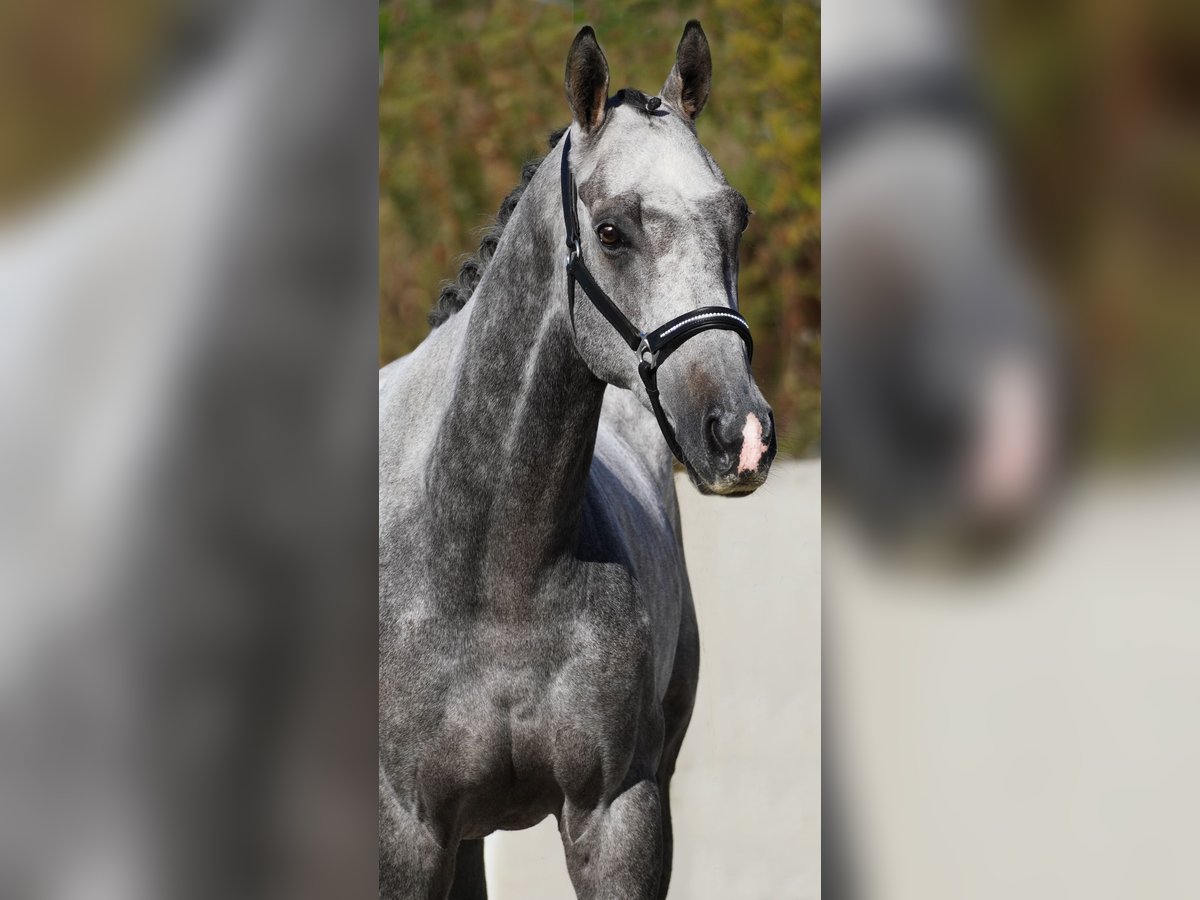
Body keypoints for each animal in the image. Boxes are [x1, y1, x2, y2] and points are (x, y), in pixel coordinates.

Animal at [381, 22, 777, 900]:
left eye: (735, 220)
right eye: (612, 232)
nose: (741, 433)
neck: (494, 571)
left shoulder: (619, 815)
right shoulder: (406, 834)